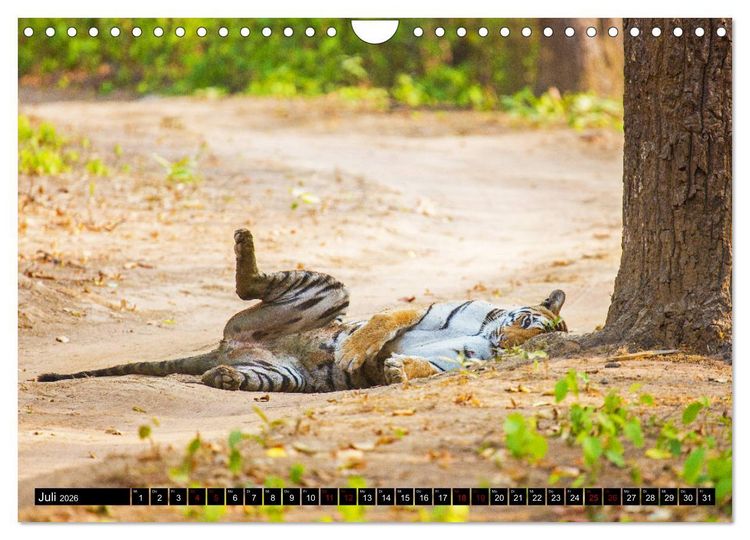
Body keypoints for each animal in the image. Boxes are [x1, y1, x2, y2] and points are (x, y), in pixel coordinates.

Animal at [37, 229, 568, 393]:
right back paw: (244, 241)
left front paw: (394, 369)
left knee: (234, 370)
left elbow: (424, 365)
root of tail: (222, 348)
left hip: (280, 375)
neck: (487, 336)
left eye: (541, 342)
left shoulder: (456, 360)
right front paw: (360, 352)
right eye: (530, 324)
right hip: (328, 291)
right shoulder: (432, 310)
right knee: (248, 282)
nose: (508, 343)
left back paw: (223, 377)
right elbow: (388, 319)